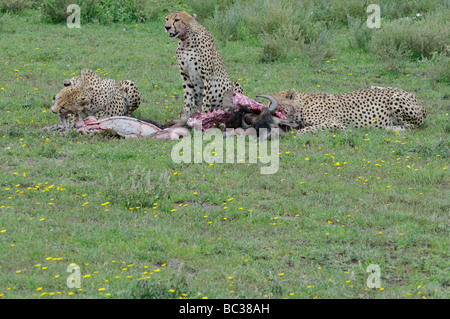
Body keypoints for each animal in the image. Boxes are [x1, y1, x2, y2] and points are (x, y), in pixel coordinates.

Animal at [256, 86, 428, 134]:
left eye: (272, 103)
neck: (301, 106)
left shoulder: (336, 124)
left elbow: (305, 130)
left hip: (396, 99)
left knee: (412, 126)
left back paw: (392, 128)